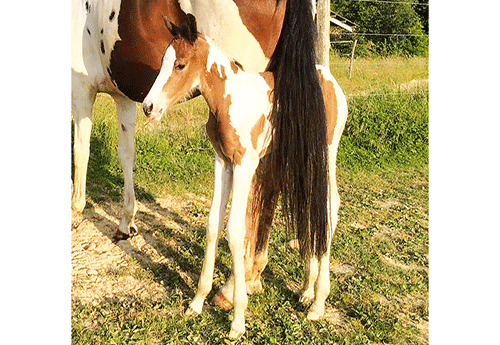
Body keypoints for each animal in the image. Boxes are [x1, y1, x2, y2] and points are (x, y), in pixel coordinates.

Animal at [143, 14, 350, 338]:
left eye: (180, 65)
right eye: (164, 60)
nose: (148, 107)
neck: (229, 99)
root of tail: (329, 80)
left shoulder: (245, 164)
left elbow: (236, 230)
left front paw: (237, 318)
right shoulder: (223, 162)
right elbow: (213, 224)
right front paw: (197, 302)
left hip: (326, 152)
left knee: (329, 206)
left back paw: (318, 303)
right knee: (311, 207)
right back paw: (306, 290)